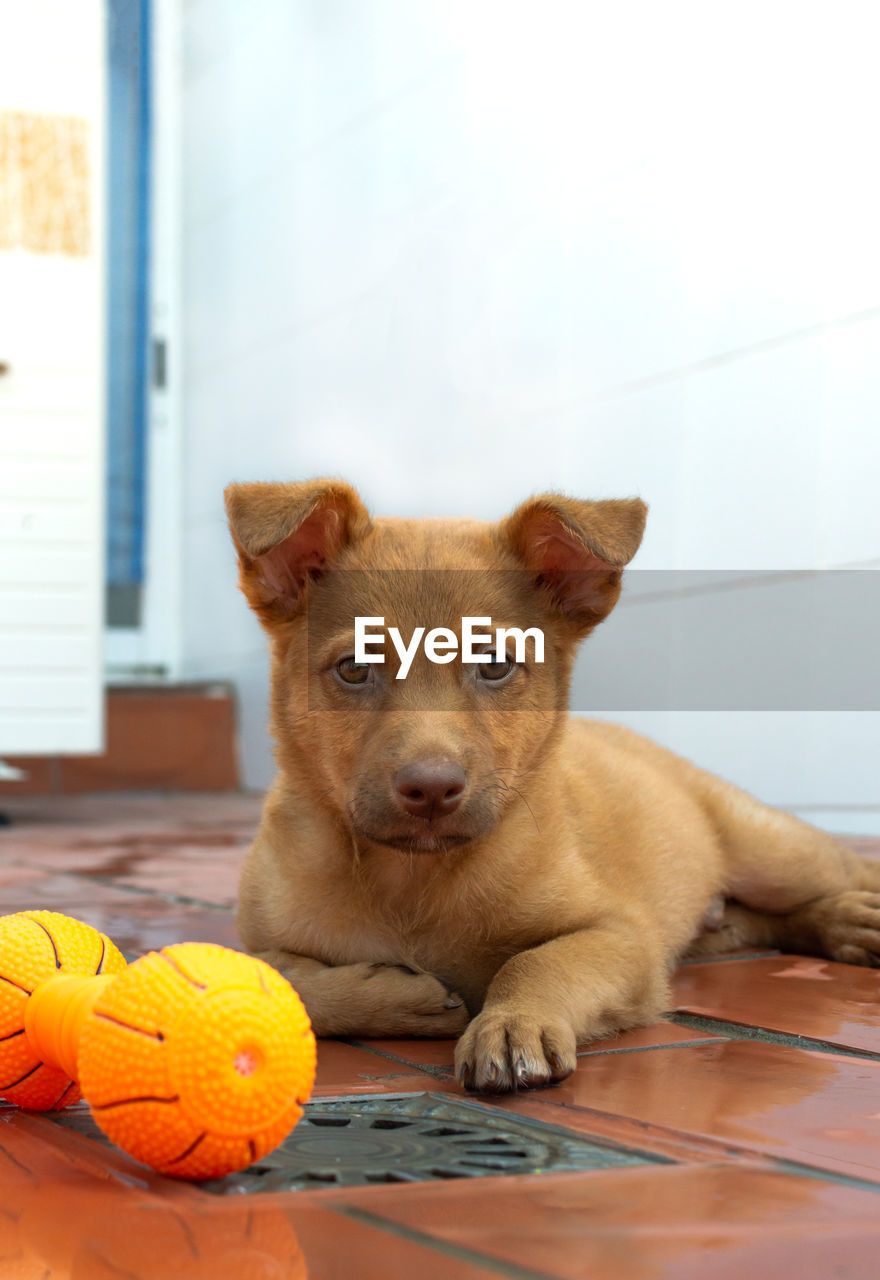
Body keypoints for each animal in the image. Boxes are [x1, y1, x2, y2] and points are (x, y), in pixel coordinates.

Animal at [225, 476, 880, 1095]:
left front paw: (512, 1024)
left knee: (838, 871)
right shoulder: (255, 934)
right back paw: (847, 925)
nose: (432, 790)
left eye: (494, 664)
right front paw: (400, 998)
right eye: (354, 668)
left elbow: (538, 961)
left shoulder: (621, 935)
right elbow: (277, 977)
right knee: (761, 920)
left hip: (778, 855)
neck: (413, 882)